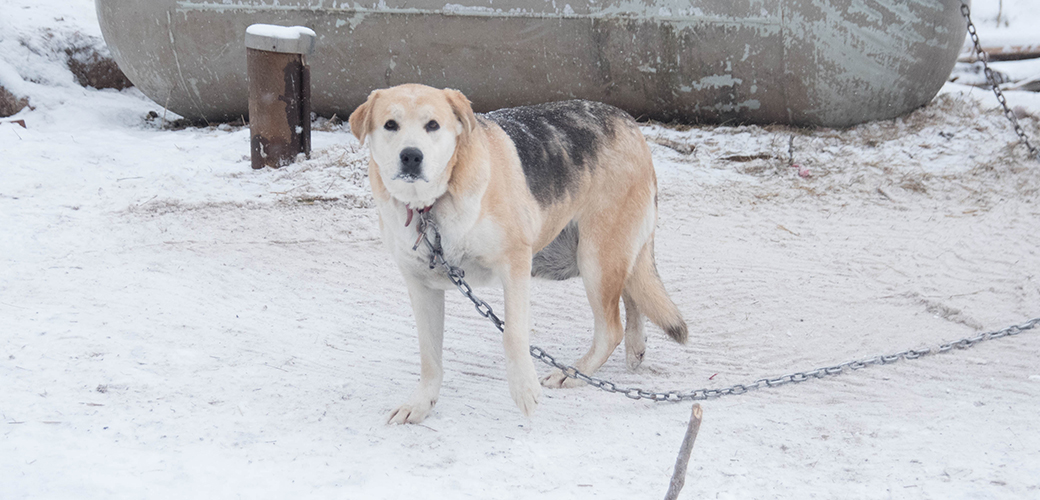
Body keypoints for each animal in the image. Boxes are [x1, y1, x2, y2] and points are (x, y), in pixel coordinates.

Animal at [351, 83, 690, 422]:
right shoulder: (422, 288)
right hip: (604, 255)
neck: (431, 208)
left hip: (596, 258)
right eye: (390, 125)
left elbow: (513, 335)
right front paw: (421, 404)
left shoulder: (514, 265)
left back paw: (574, 372)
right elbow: (429, 356)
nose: (411, 156)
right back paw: (635, 347)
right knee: (632, 296)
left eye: (432, 125)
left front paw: (524, 390)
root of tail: (629, 122)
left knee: (611, 329)